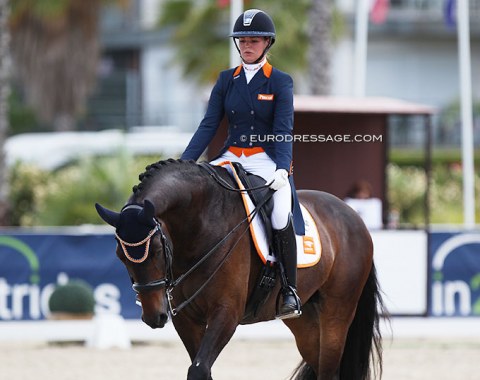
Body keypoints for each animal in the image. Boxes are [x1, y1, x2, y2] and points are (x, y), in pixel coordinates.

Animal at [95, 159, 384, 380]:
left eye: (155, 250)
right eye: (120, 256)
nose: (154, 317)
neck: (201, 225)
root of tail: (352, 215)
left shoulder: (227, 313)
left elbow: (198, 369)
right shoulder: (186, 318)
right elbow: (201, 368)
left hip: (337, 312)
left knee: (329, 370)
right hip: (304, 320)